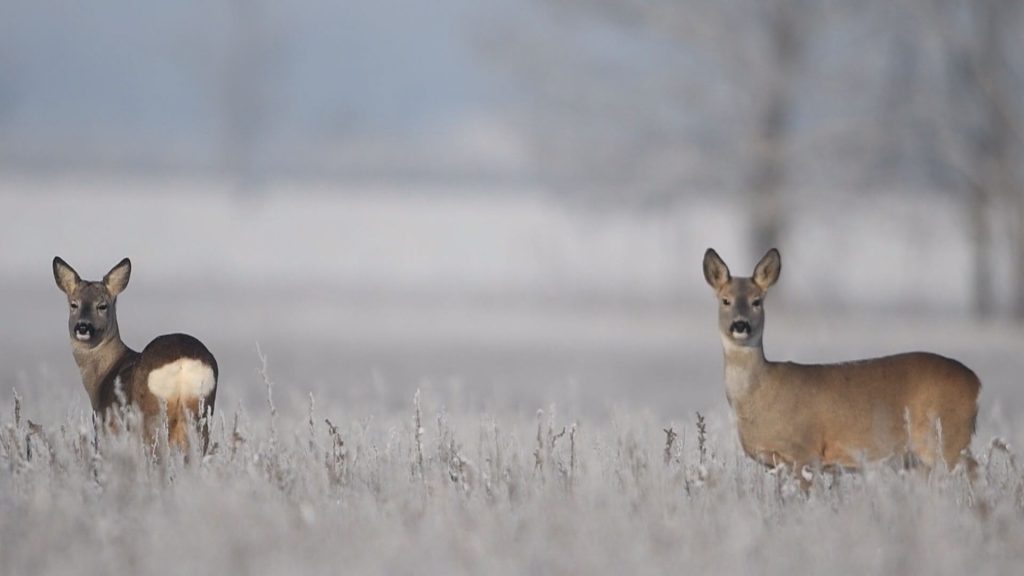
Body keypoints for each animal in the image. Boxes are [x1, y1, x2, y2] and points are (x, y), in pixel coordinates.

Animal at [52, 255, 217, 448]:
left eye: (102, 305)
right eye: (74, 304)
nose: (83, 327)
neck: (102, 376)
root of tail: (182, 361)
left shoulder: (106, 426)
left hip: (150, 418)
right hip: (200, 415)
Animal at [700, 247, 978, 479]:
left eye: (757, 301)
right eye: (725, 300)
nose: (740, 325)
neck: (760, 393)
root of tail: (976, 382)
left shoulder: (806, 450)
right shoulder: (776, 463)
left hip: (949, 436)